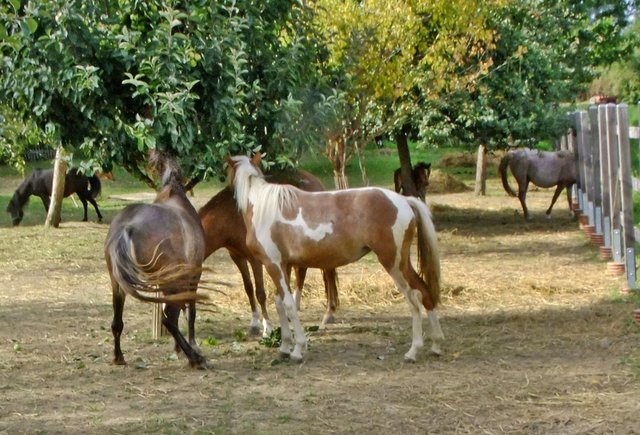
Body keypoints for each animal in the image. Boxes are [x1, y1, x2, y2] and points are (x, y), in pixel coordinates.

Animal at [103, 152, 208, 370]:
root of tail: (128, 227)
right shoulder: (195, 274)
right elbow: (190, 312)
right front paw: (191, 346)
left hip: (117, 283)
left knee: (117, 322)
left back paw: (119, 357)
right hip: (173, 282)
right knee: (170, 320)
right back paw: (195, 358)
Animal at [199, 170, 340, 338]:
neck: (230, 214)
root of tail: (315, 182)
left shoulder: (255, 259)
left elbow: (260, 292)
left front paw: (267, 328)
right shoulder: (237, 257)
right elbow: (248, 288)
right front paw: (254, 323)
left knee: (328, 271)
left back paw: (328, 315)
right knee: (302, 272)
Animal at [226, 155, 444, 362]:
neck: (262, 206)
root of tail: (404, 200)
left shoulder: (273, 265)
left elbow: (288, 305)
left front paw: (297, 349)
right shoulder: (283, 266)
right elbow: (280, 304)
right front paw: (284, 348)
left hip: (393, 265)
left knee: (414, 298)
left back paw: (413, 351)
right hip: (402, 264)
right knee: (425, 292)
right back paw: (435, 345)